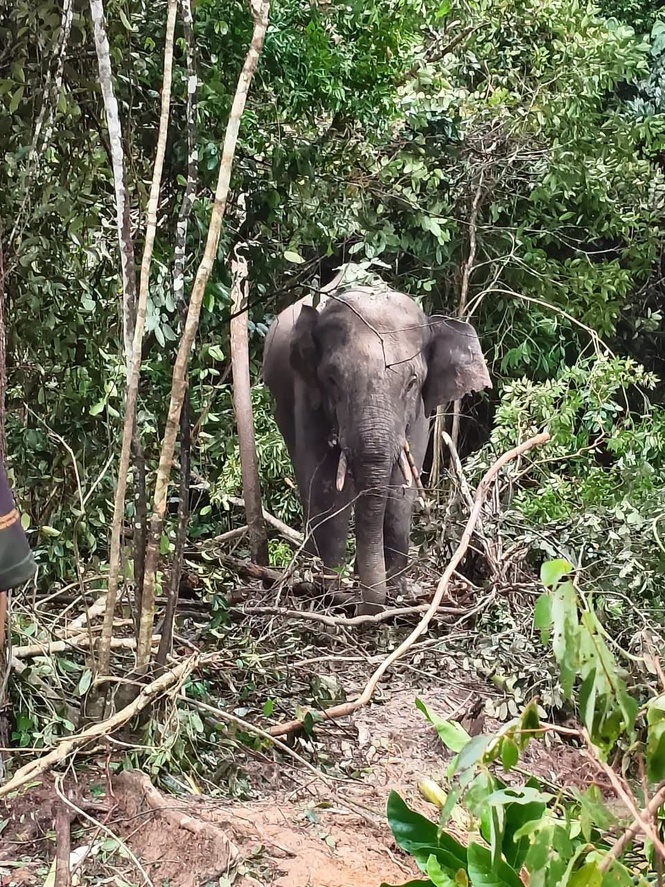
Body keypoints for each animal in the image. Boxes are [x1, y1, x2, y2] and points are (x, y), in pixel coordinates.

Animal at [262, 286, 491, 615]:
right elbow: (324, 484)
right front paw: (327, 591)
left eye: (411, 382)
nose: (357, 605)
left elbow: (399, 489)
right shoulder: (307, 394)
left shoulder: (420, 414)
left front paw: (398, 592)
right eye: (332, 380)